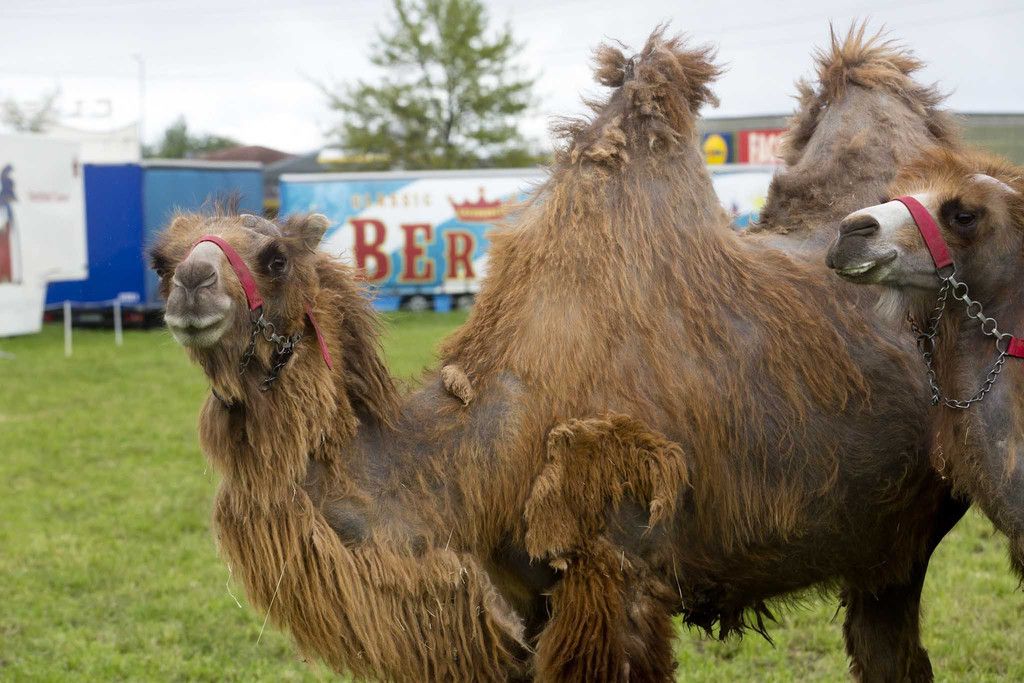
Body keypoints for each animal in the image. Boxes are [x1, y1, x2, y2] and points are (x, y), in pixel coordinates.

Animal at [152, 28, 959, 682]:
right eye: (159, 259)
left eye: (275, 257)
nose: (191, 284)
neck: (476, 450)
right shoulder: (523, 594)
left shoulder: (614, 571)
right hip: (885, 541)